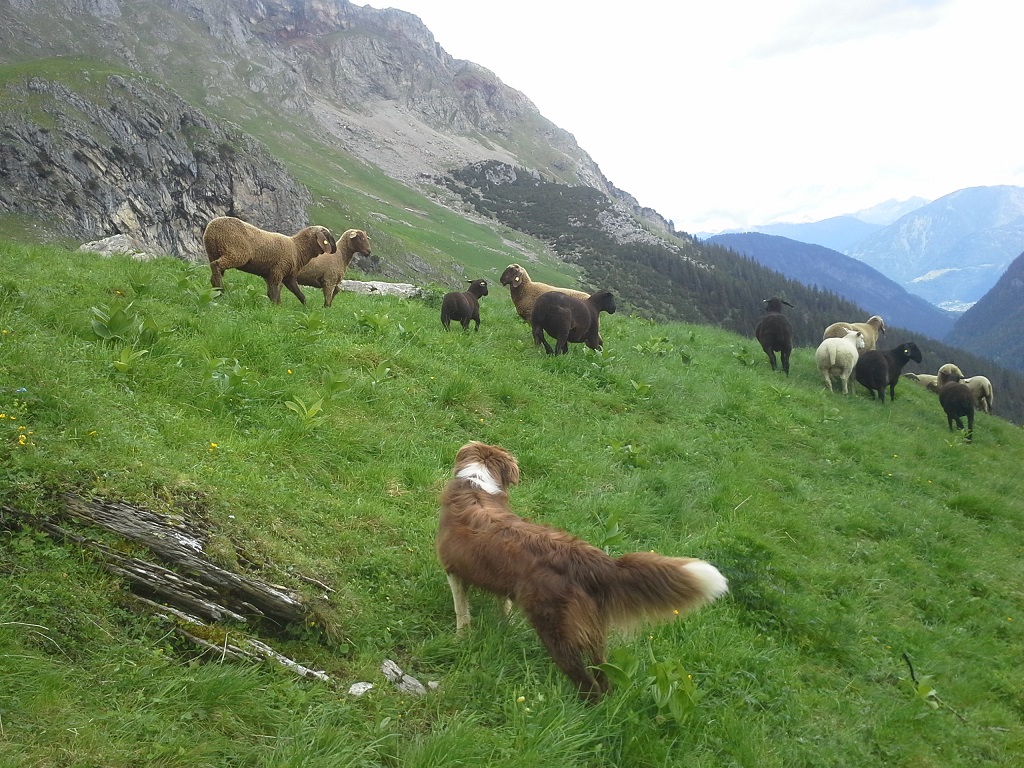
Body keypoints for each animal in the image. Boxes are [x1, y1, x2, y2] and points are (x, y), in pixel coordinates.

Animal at [204, 216, 337, 305]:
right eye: (328, 236)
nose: (335, 249)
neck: (297, 248)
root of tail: (212, 228)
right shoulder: (277, 271)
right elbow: (274, 293)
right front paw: (275, 307)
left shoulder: (287, 276)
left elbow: (298, 293)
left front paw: (304, 307)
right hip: (236, 253)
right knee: (216, 265)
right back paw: (221, 290)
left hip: (214, 252)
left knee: (214, 272)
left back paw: (215, 292)